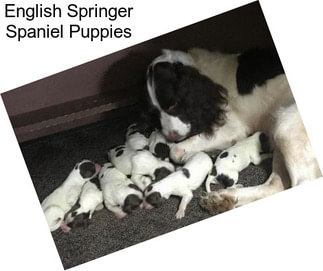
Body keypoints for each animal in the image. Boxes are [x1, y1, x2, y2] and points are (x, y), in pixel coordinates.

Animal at [146, 48, 322, 215]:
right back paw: (222, 199)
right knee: (275, 185)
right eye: (155, 111)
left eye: (173, 104)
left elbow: (175, 151)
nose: (170, 137)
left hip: (286, 125)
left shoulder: (233, 128)